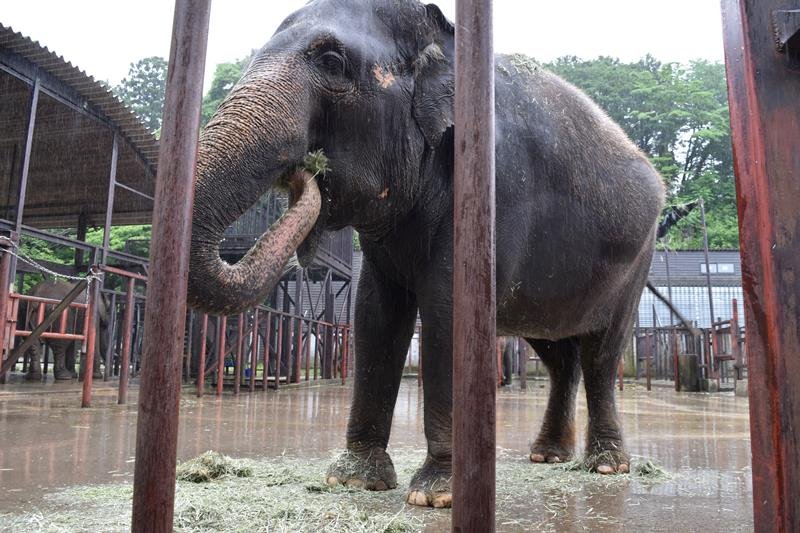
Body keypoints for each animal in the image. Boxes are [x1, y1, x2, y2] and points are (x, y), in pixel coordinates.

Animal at [186, 0, 665, 508]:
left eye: (332, 62)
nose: (305, 172)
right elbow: (375, 313)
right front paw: (355, 481)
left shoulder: (493, 189)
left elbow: (446, 309)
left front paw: (435, 497)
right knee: (558, 355)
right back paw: (547, 456)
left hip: (637, 260)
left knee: (601, 353)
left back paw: (606, 466)